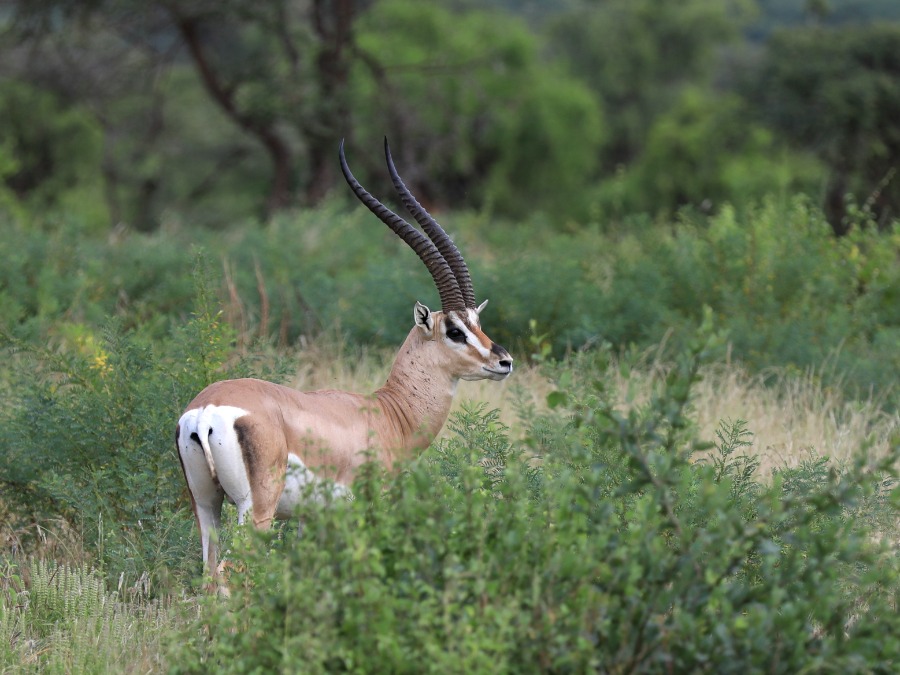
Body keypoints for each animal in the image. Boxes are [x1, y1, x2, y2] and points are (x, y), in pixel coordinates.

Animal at [175, 138, 513, 581]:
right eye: (455, 330)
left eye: (478, 321)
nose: (504, 361)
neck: (388, 413)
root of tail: (205, 410)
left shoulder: (312, 518)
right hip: (256, 509)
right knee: (231, 573)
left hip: (206, 505)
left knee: (208, 575)